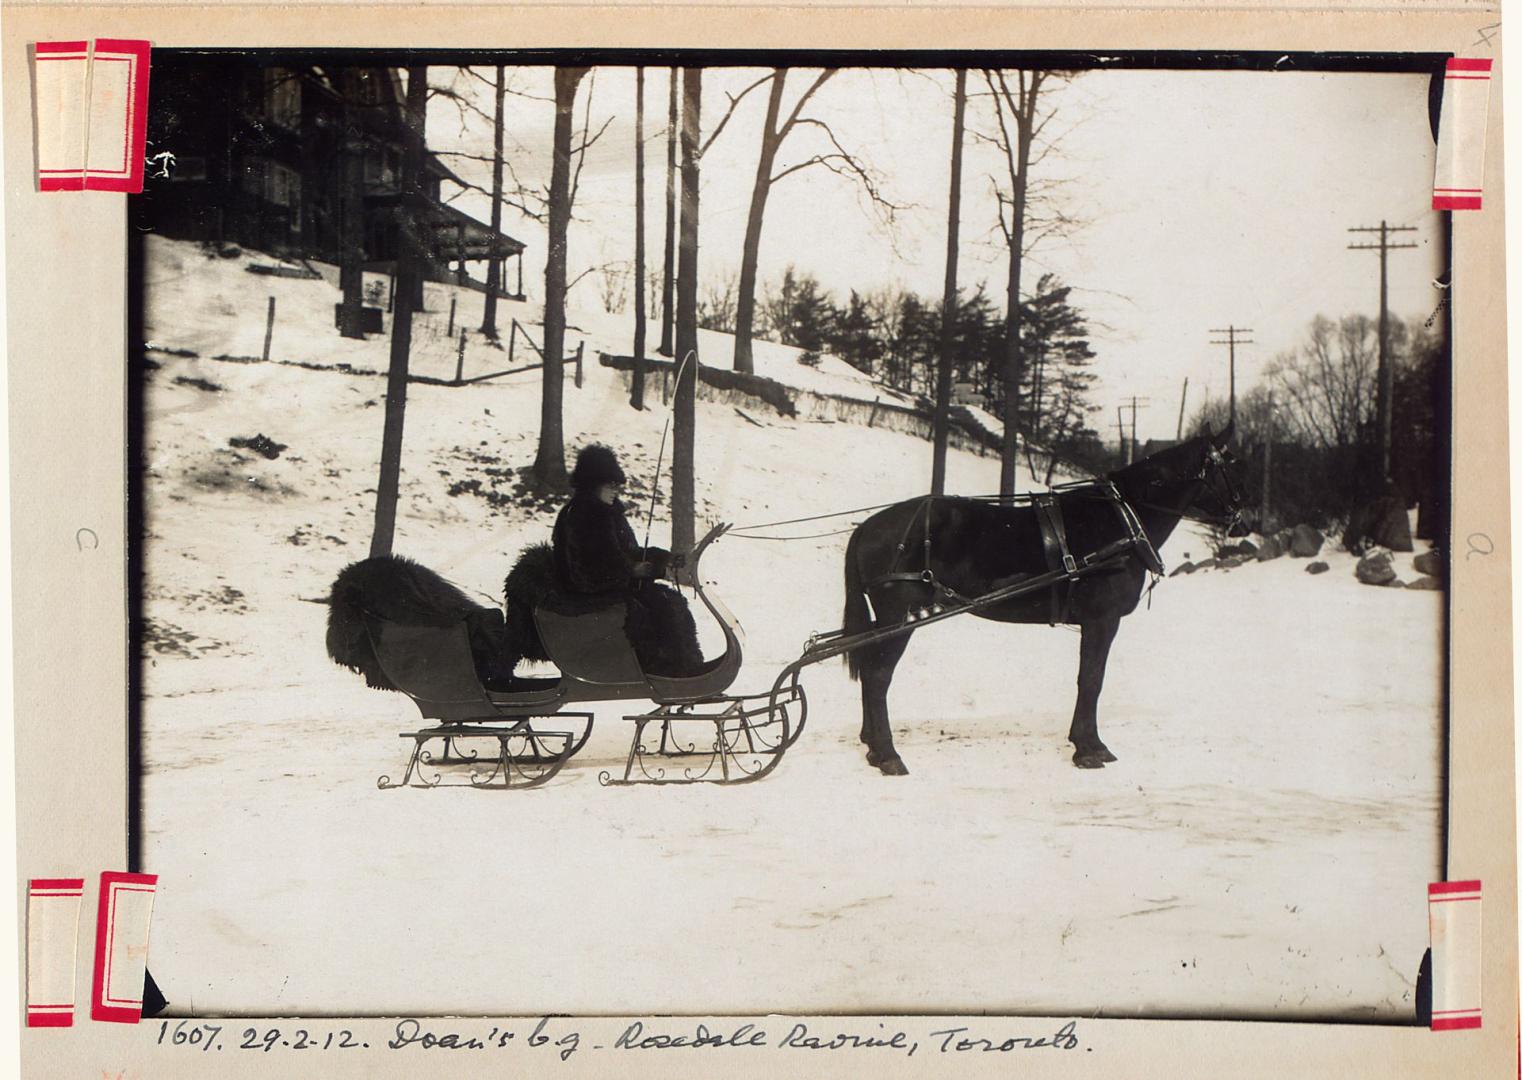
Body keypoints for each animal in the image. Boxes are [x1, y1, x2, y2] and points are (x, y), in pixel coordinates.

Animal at [840, 425, 1241, 778]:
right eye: (1228, 464)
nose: (1241, 514)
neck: (1118, 521)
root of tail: (867, 527)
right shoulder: (1102, 620)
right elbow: (1091, 679)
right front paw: (1089, 748)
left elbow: (1089, 679)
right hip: (899, 617)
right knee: (878, 676)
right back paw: (888, 755)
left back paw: (873, 747)